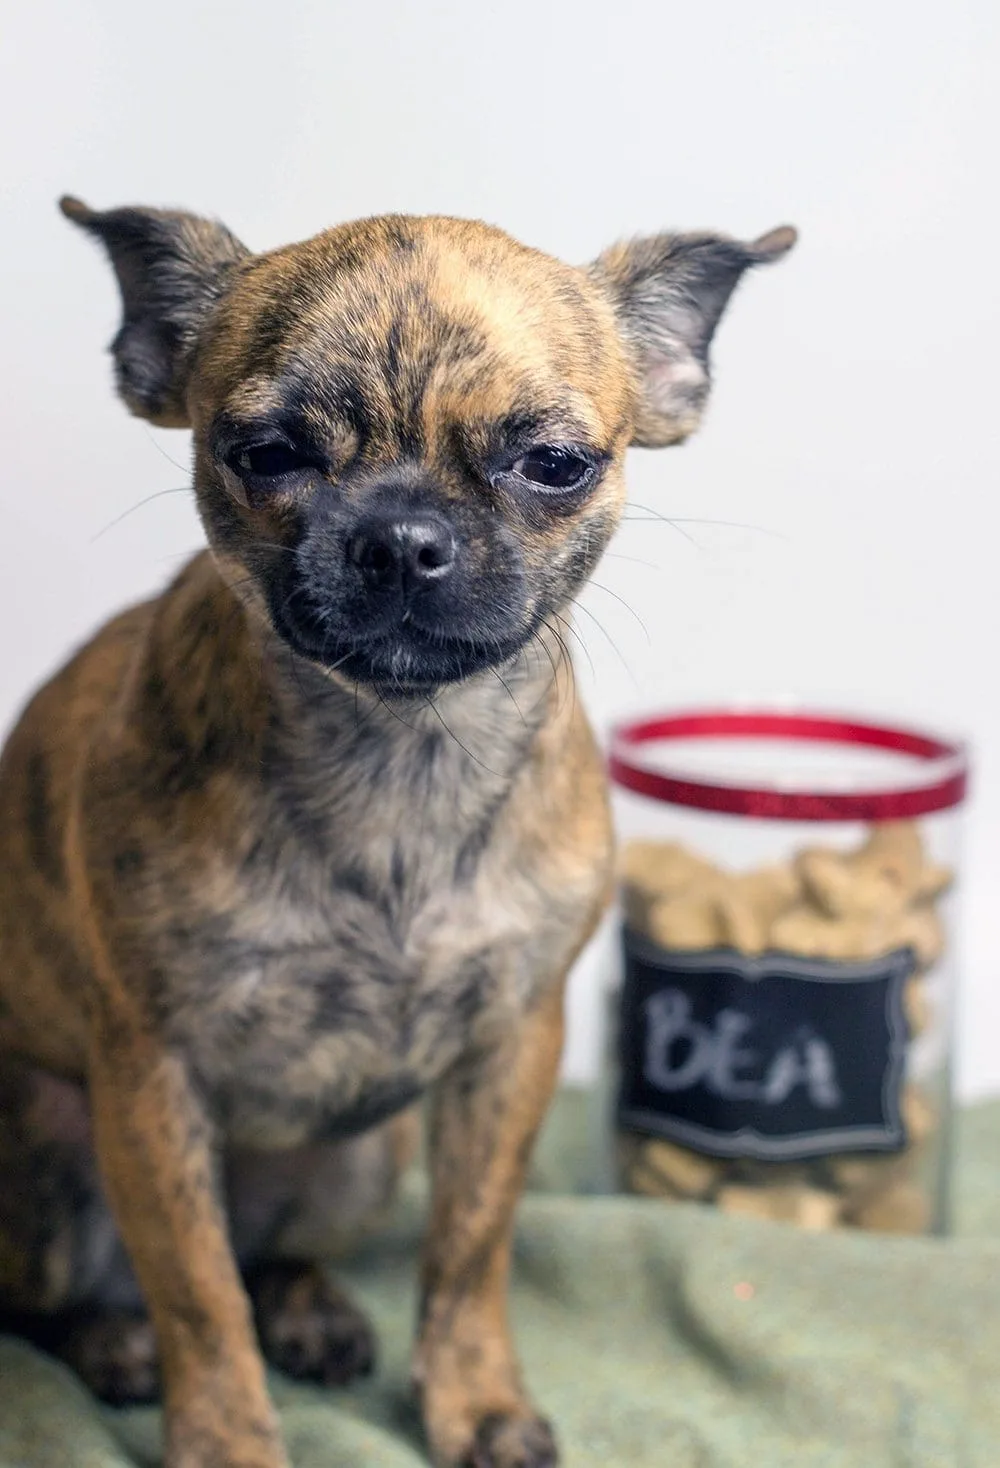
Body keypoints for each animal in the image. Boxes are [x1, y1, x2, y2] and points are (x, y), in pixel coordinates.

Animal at [0, 198, 792, 1468]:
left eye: (553, 465)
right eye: (266, 454)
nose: (403, 535)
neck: (399, 750)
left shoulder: (508, 1052)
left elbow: (467, 1252)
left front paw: (472, 1400)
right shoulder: (149, 1076)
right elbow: (197, 1295)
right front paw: (227, 1441)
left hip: (363, 1156)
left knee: (269, 1257)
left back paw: (311, 1310)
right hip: (45, 1147)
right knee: (89, 1293)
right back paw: (117, 1340)